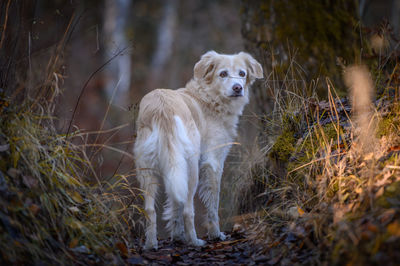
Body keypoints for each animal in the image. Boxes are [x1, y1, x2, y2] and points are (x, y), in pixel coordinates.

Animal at [134, 50, 262, 249]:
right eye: (223, 74)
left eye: (242, 73)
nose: (238, 88)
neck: (209, 98)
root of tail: (162, 108)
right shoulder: (213, 162)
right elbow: (213, 203)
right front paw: (216, 234)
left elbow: (174, 204)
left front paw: (177, 235)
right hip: (191, 167)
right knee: (188, 209)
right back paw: (195, 241)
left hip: (149, 170)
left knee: (150, 209)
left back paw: (151, 244)